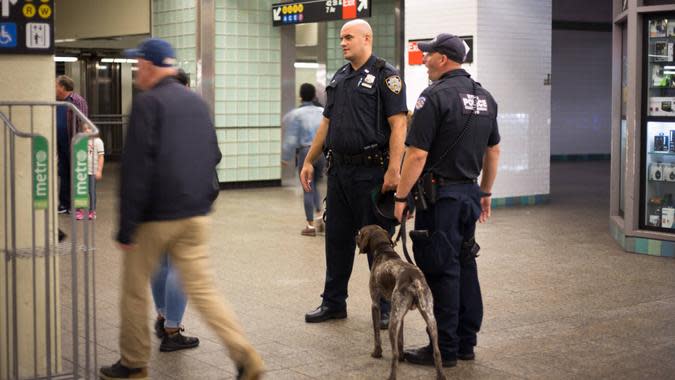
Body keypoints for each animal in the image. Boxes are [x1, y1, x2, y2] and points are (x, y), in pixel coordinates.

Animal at [356, 226, 446, 380]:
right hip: (430, 318)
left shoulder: (375, 304)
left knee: (394, 354)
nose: (355, 236)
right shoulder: (400, 315)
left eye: (361, 232)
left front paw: (377, 353)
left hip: (393, 322)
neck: (384, 250)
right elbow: (401, 340)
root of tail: (414, 280)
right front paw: (404, 357)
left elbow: (377, 334)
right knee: (437, 351)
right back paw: (440, 375)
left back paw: (391, 376)